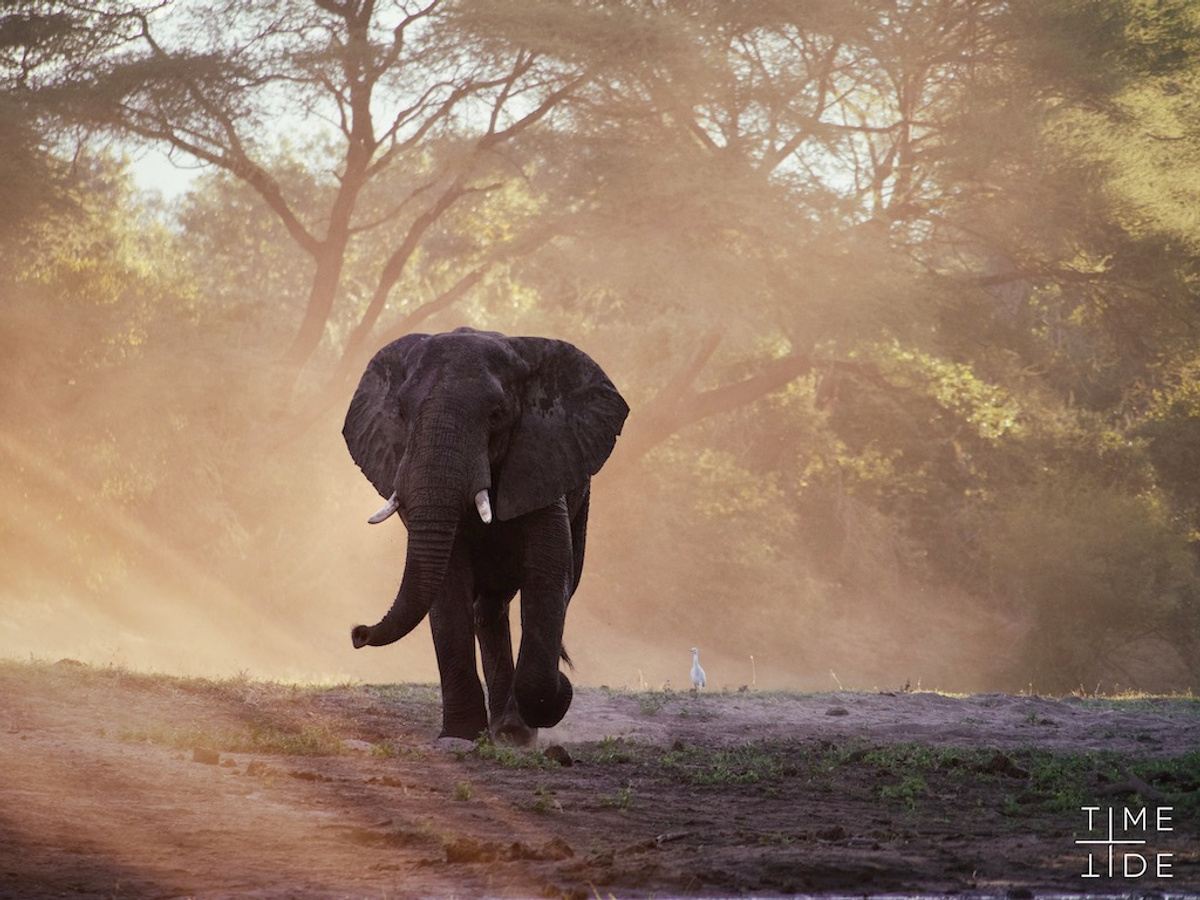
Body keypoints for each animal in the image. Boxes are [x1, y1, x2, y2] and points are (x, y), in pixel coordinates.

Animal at [343, 328, 628, 744]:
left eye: (497, 416)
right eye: (402, 414)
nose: (357, 633)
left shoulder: (543, 460)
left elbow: (548, 575)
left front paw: (555, 694)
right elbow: (448, 583)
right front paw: (461, 736)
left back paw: (512, 730)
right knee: (488, 609)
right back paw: (503, 728)